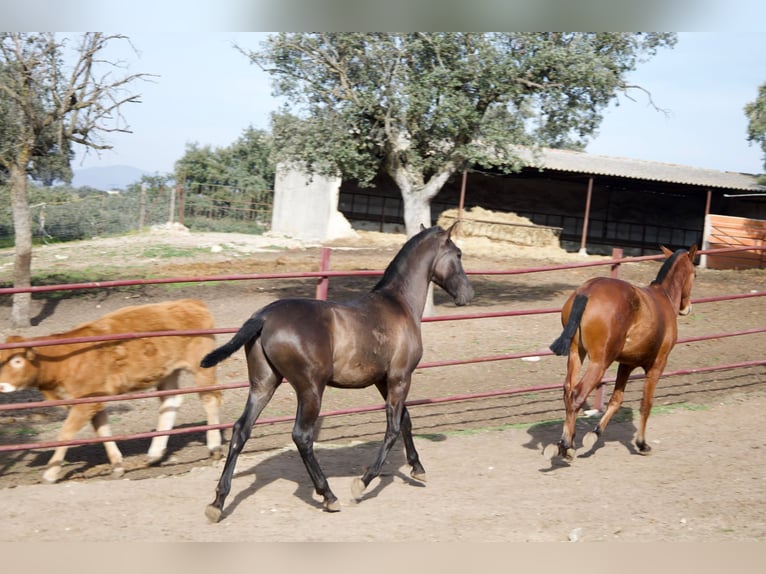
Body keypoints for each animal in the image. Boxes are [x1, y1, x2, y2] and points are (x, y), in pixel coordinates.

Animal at [0, 300, 222, 484]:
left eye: (17, 361)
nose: (1, 385)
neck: (64, 360)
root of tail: (192, 303)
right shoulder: (95, 400)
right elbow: (103, 431)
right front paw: (117, 465)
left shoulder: (86, 401)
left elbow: (66, 433)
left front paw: (51, 473)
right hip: (168, 372)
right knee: (170, 402)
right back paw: (155, 453)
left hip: (202, 367)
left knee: (210, 399)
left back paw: (214, 447)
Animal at [200, 224, 474, 520]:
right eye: (458, 254)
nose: (469, 295)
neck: (399, 305)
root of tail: (264, 317)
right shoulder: (401, 377)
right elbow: (393, 428)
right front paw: (363, 482)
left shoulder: (384, 381)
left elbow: (406, 421)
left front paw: (418, 469)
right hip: (310, 389)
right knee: (302, 436)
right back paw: (329, 495)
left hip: (264, 384)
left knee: (241, 430)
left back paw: (217, 503)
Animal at [544, 246, 700, 464]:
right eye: (695, 274)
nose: (687, 307)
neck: (664, 298)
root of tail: (587, 291)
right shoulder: (657, 365)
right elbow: (646, 403)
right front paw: (642, 444)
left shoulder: (626, 364)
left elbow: (616, 400)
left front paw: (595, 434)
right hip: (600, 362)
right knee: (577, 395)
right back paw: (566, 446)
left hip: (576, 354)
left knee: (568, 390)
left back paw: (565, 444)